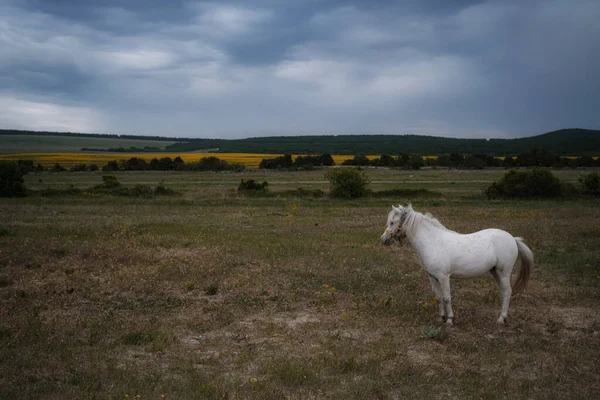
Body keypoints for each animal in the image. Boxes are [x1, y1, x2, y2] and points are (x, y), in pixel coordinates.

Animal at [382, 203, 532, 324]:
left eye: (392, 222)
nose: (383, 240)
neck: (433, 242)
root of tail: (513, 238)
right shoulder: (432, 277)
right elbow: (439, 297)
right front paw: (440, 318)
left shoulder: (443, 277)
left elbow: (447, 297)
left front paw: (449, 320)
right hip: (495, 271)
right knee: (504, 291)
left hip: (504, 272)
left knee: (508, 292)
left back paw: (501, 318)